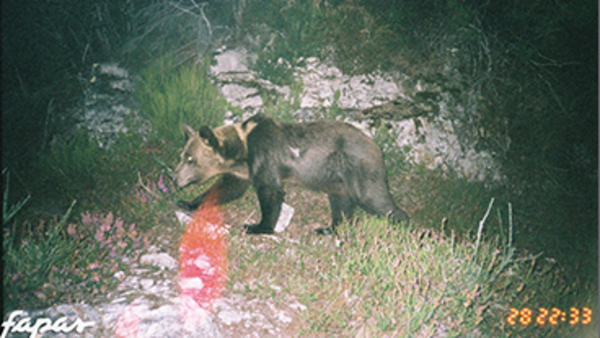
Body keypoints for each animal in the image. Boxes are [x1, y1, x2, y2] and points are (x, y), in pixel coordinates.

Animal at [171, 112, 410, 234]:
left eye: (191, 159)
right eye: (182, 155)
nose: (174, 178)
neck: (243, 151)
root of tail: (376, 146)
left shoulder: (265, 158)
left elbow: (270, 192)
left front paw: (257, 226)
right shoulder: (241, 172)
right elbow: (227, 188)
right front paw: (188, 203)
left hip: (358, 167)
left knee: (375, 199)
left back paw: (407, 225)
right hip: (337, 179)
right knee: (341, 203)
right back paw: (328, 228)